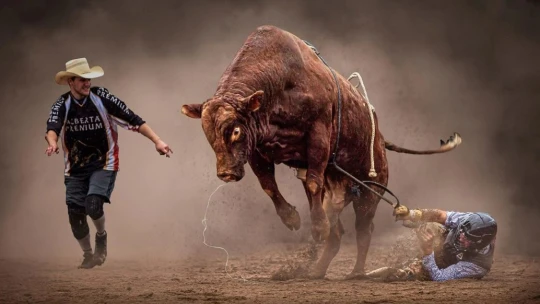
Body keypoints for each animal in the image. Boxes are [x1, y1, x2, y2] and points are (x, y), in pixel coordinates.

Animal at [181, 25, 460, 280]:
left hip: (371, 191)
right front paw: (292, 218)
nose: (226, 173)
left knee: (363, 230)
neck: (280, 83)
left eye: (235, 130)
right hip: (337, 194)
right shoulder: (257, 147)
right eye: (207, 132)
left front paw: (316, 227)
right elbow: (269, 185)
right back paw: (316, 271)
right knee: (336, 234)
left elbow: (313, 183)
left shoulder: (318, 132)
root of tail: (380, 140)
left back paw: (356, 272)